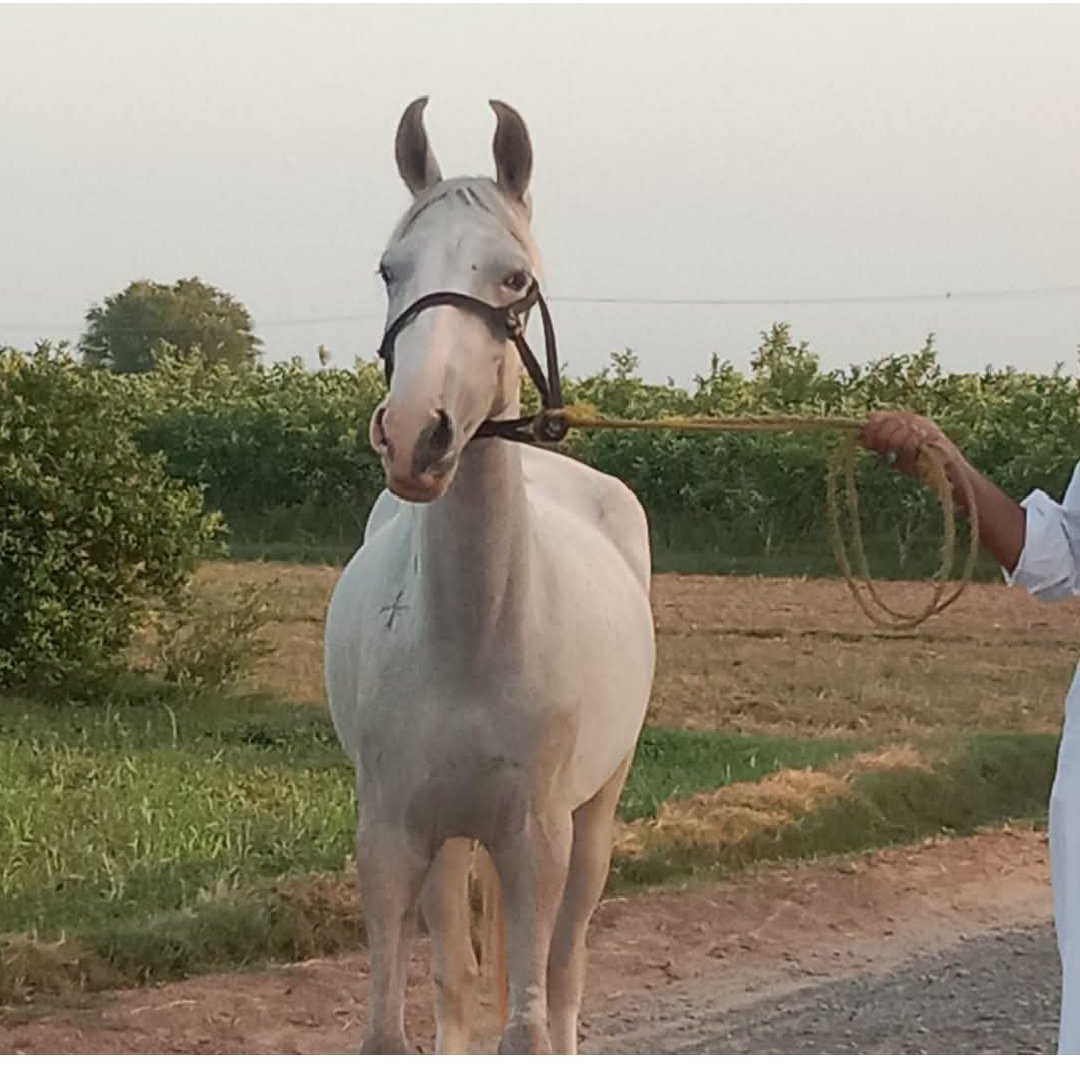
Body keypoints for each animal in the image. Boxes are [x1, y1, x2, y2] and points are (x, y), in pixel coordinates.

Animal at [324, 96, 656, 1055]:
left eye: (513, 278)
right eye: (390, 269)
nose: (415, 435)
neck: (470, 633)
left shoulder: (534, 841)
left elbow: (531, 1024)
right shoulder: (393, 836)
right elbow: (395, 1028)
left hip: (592, 820)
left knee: (566, 969)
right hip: (450, 845)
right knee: (459, 978)